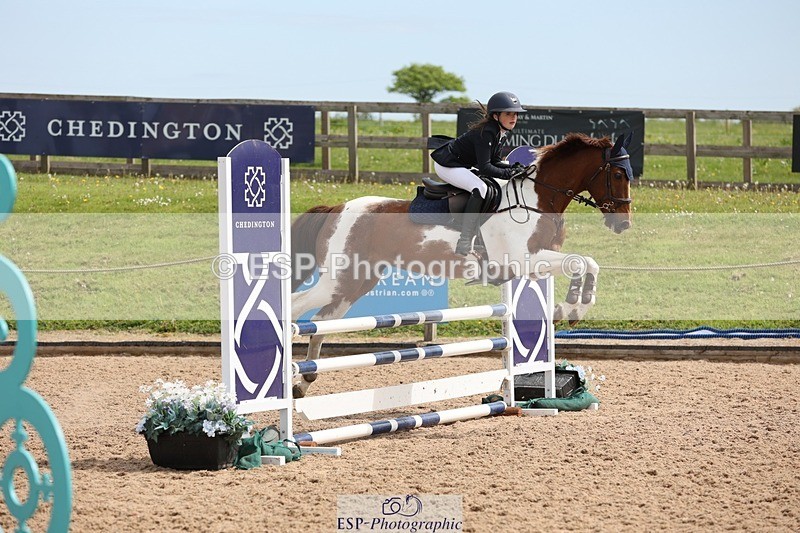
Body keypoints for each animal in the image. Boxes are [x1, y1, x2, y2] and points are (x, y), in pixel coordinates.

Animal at [290, 132, 635, 397]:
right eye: (618, 175)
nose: (624, 224)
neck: (536, 199)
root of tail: (336, 207)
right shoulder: (522, 260)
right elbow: (582, 262)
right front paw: (572, 308)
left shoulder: (535, 263)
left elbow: (586, 263)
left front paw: (568, 309)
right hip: (337, 279)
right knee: (297, 307)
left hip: (355, 282)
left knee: (321, 323)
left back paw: (302, 384)